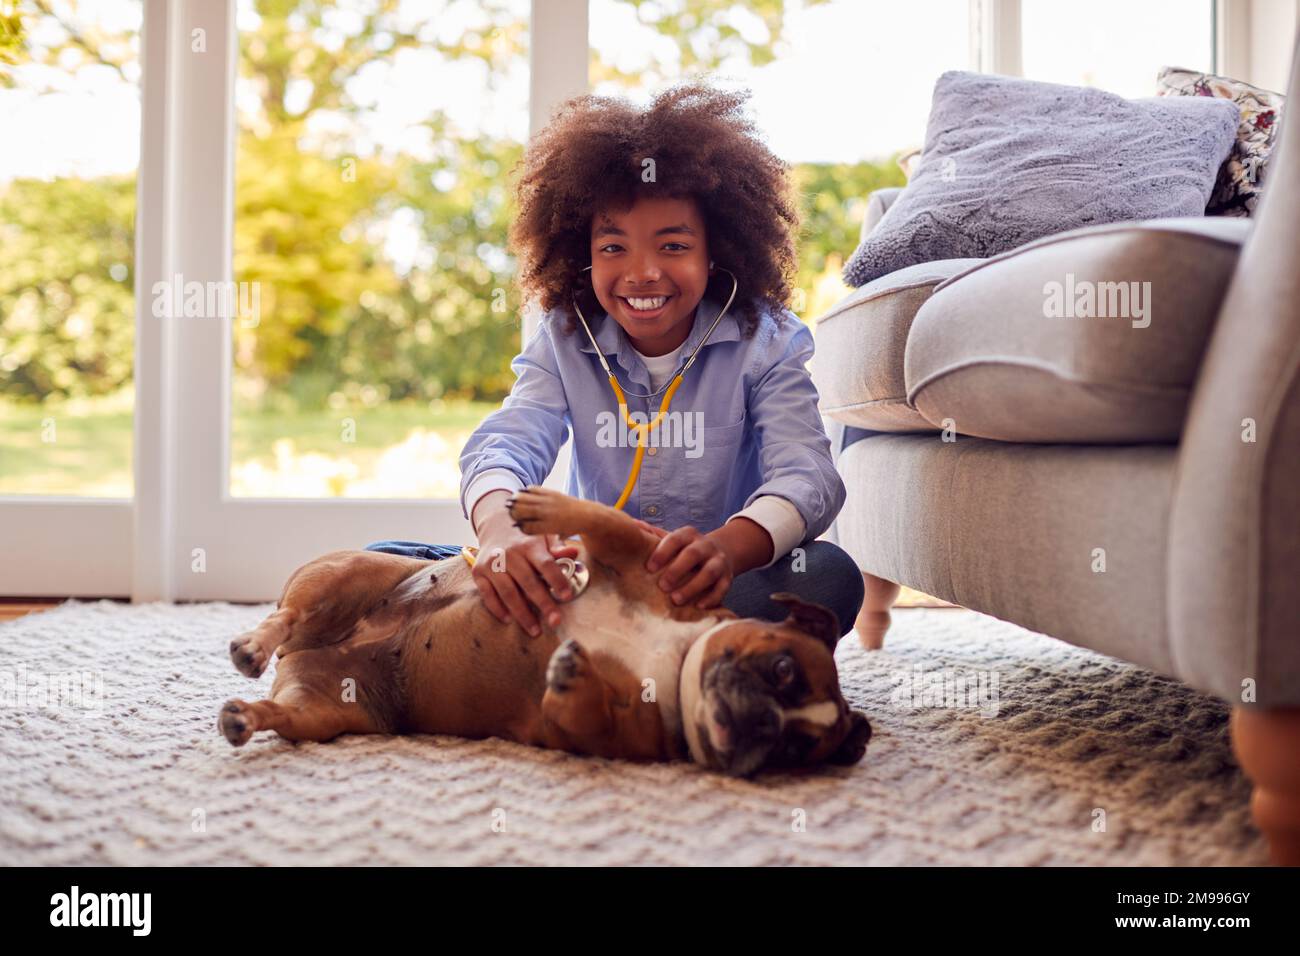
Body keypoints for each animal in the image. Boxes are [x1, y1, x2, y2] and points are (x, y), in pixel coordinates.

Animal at [223, 486, 873, 780]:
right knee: (288, 614)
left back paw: (245, 714)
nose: (763, 724)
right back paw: (254, 644)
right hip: (342, 574)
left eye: (793, 751)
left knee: (283, 710)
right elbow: (602, 520)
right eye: (784, 669)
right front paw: (543, 508)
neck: (680, 659)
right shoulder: (638, 557)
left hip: (325, 711)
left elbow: (581, 710)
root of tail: (307, 652)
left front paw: (573, 672)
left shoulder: (586, 732)